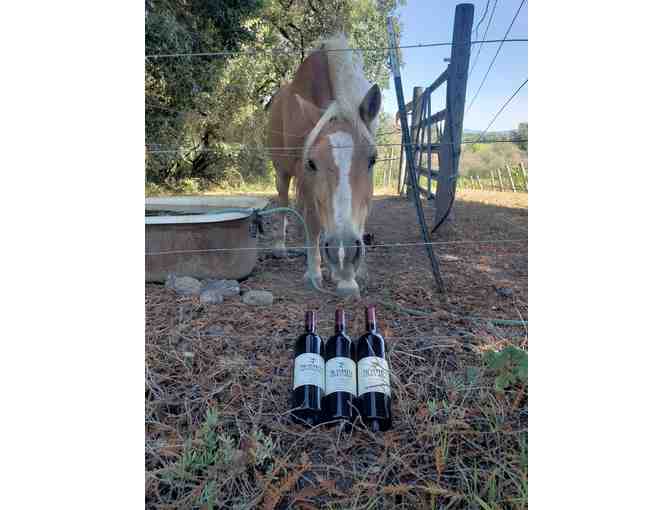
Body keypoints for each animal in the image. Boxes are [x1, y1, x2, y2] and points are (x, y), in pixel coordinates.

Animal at [266, 34, 381, 298]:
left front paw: (347, 277)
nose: (344, 252)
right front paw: (315, 272)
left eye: (373, 159)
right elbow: (312, 220)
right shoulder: (304, 174)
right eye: (312, 162)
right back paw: (281, 247)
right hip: (281, 171)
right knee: (284, 202)